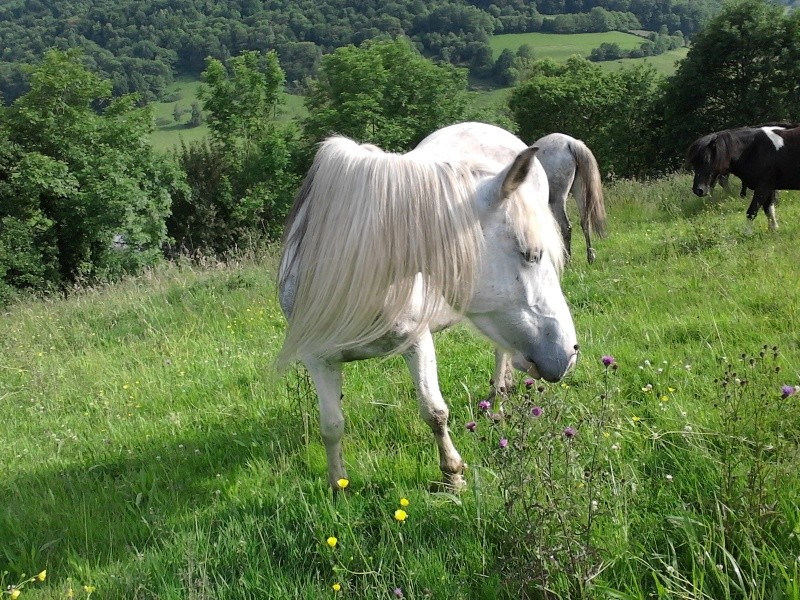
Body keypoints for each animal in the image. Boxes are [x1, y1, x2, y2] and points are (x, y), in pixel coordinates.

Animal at [278, 122, 580, 492]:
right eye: (531, 254)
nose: (568, 354)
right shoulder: (317, 358)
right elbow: (331, 425)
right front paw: (339, 486)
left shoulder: (418, 343)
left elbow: (434, 412)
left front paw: (452, 475)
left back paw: (497, 395)